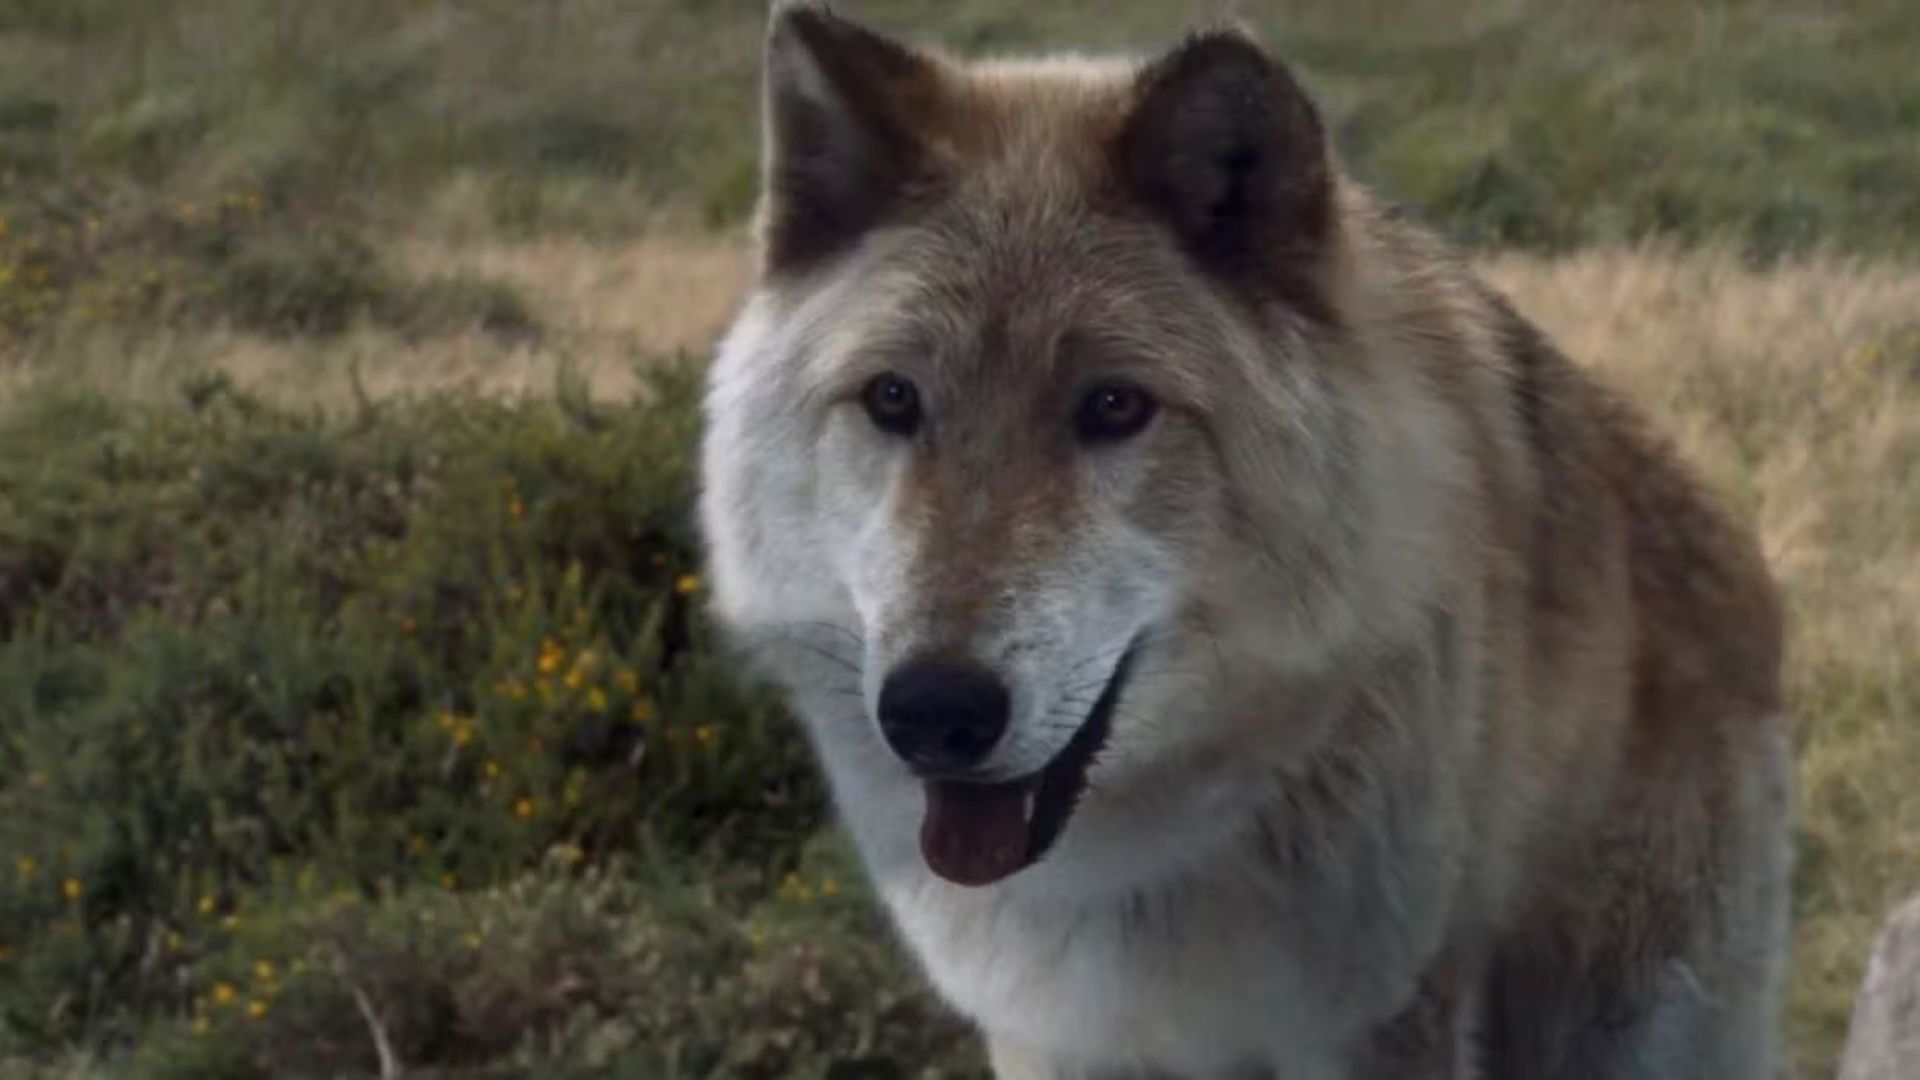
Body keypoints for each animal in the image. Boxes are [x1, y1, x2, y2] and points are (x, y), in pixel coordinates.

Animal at [697, 5, 1793, 1077]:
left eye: (1114, 407)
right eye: (893, 400)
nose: (935, 711)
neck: (1131, 866)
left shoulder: (1374, 1027)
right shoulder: (1048, 1035)